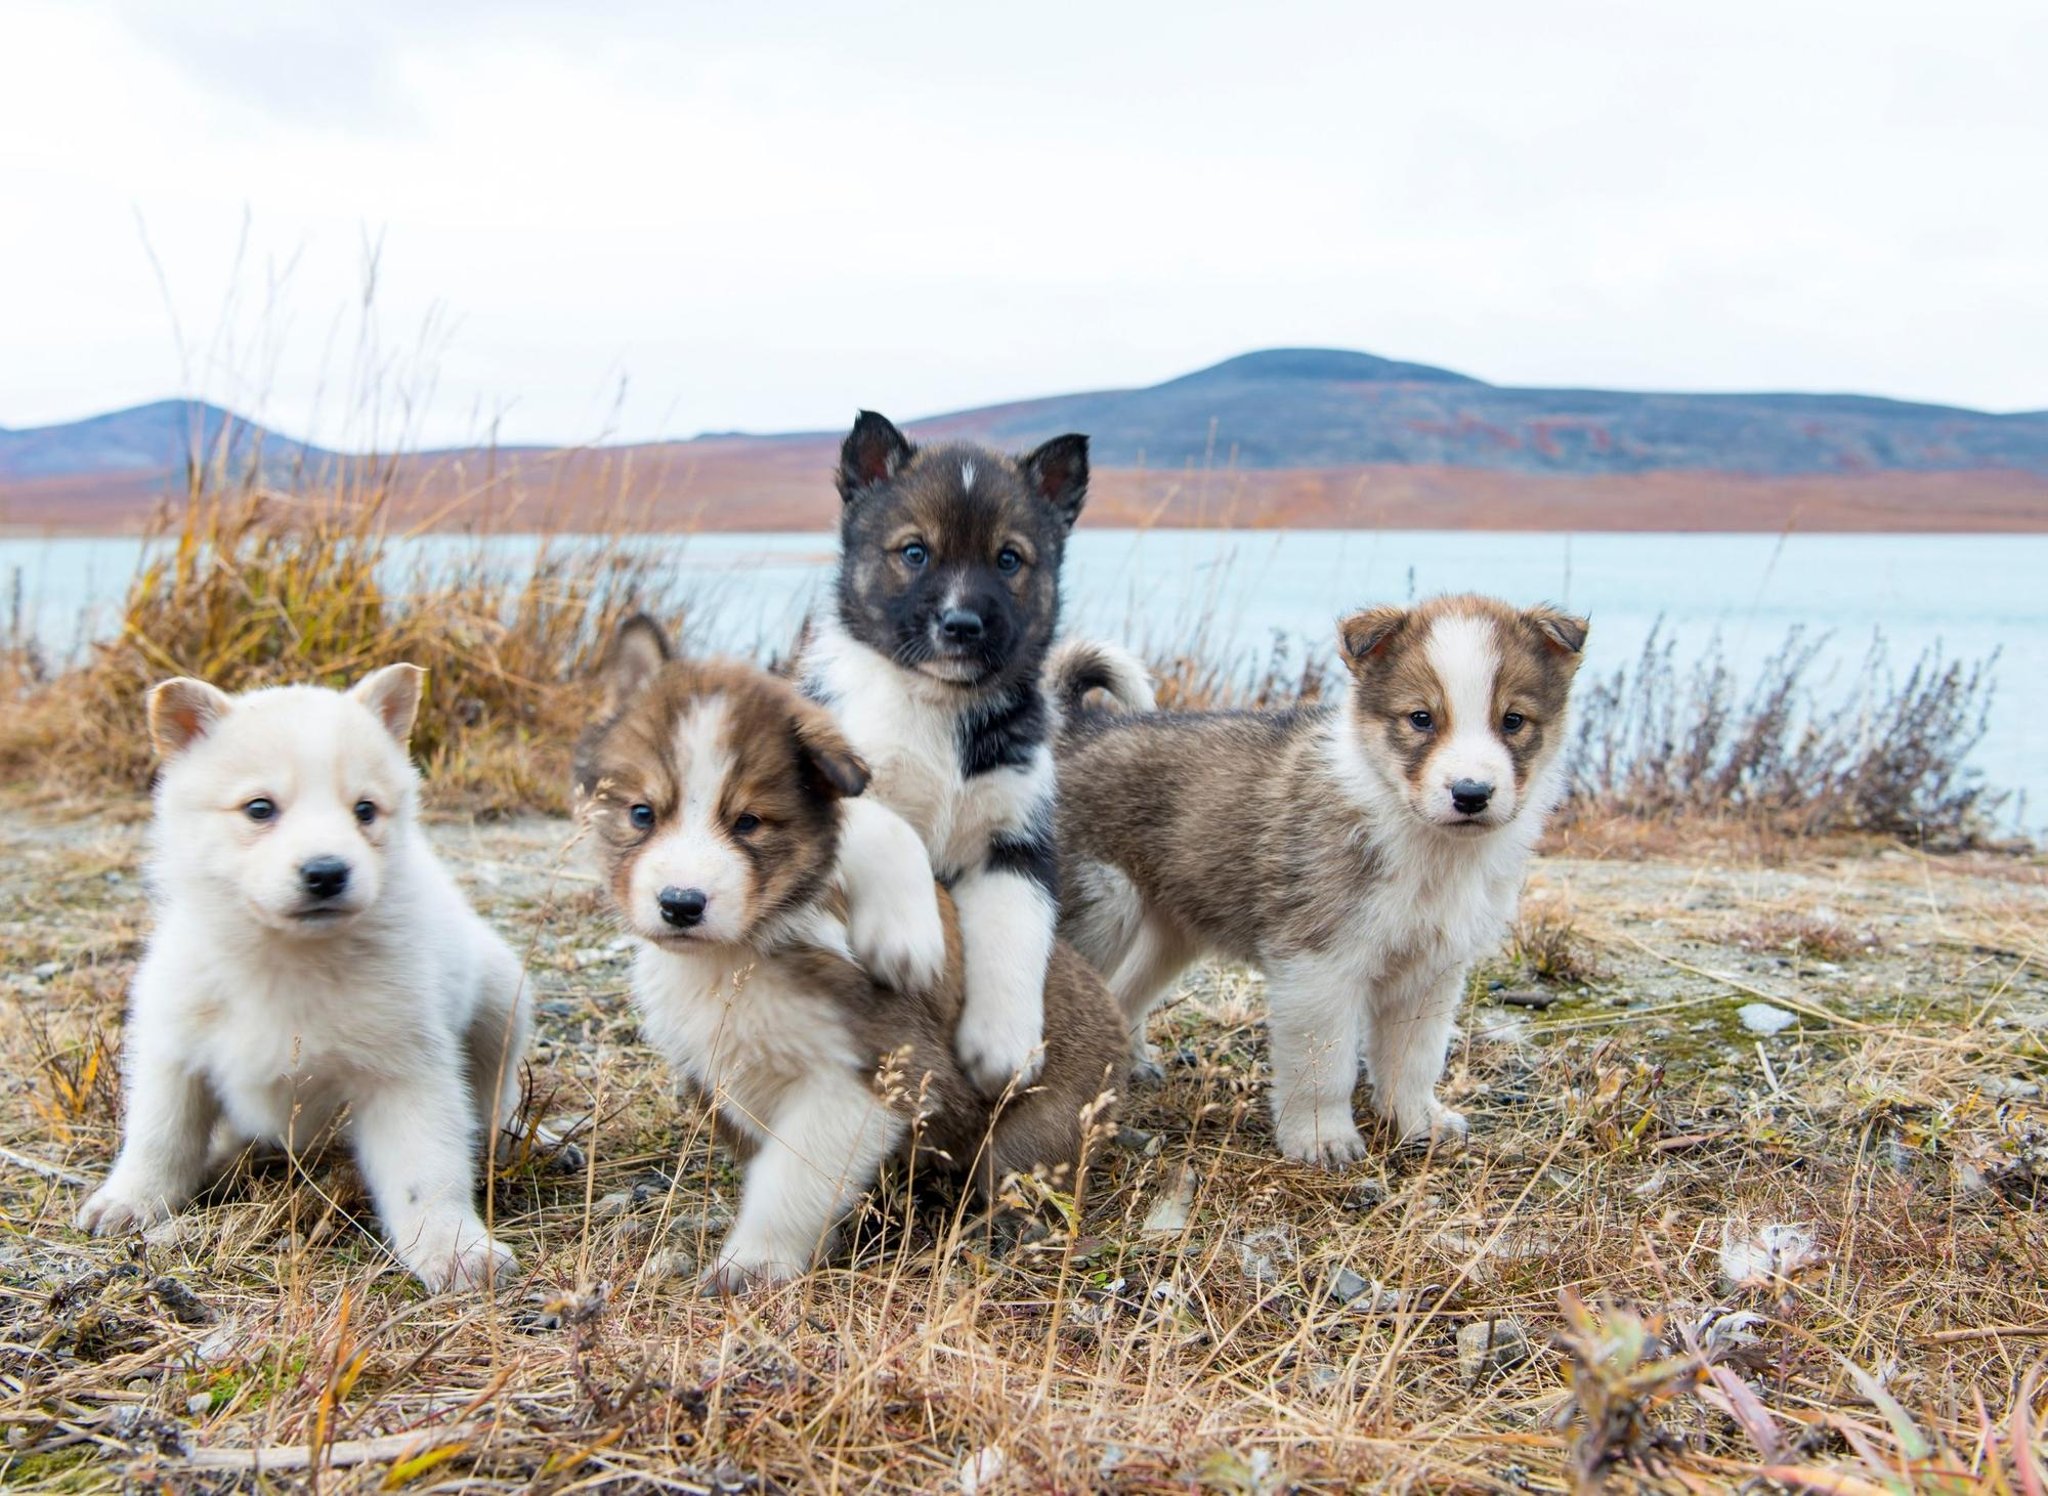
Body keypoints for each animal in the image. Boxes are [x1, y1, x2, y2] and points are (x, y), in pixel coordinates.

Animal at [75, 659, 532, 1286]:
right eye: (259, 808)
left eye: (365, 810)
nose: (326, 872)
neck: (288, 958)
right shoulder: (173, 1047)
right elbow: (159, 1135)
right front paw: (131, 1200)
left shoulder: (405, 1071)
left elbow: (427, 1170)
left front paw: (454, 1247)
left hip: (499, 1005)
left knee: (494, 1096)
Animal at [577, 614, 1130, 1278]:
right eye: (641, 813)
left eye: (748, 823)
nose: (681, 904)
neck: (737, 956)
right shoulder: (717, 1079)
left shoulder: (868, 1080)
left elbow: (790, 1182)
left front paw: (753, 1264)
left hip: (1025, 1138)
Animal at [798, 409, 1097, 1098]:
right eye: (915, 552)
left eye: (1009, 559)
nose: (961, 625)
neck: (940, 705)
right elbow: (892, 831)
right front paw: (908, 940)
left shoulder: (1017, 842)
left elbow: (1017, 928)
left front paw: (1005, 1046)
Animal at [1048, 594, 1589, 1164]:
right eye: (1421, 719)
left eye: (1513, 720)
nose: (1471, 793)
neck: (1421, 837)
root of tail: (1078, 730)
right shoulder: (1319, 966)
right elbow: (1324, 1068)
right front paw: (1322, 1138)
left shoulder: (1432, 969)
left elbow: (1415, 1059)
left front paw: (1419, 1120)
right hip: (1103, 909)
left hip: (1172, 927)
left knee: (1125, 992)